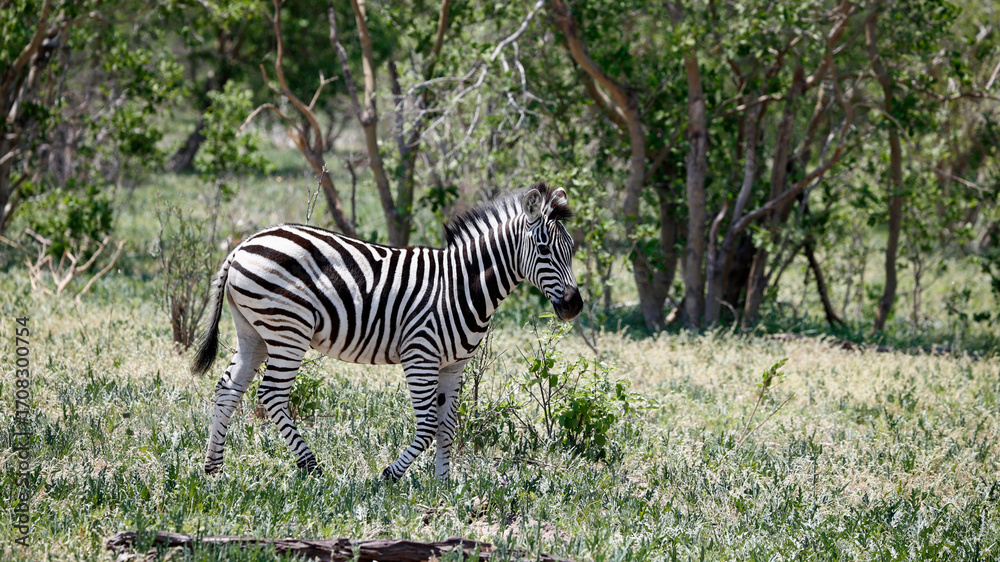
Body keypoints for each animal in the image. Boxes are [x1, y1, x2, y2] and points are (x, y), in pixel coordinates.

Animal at [191, 184, 583, 480]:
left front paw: (442, 482)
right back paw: (312, 466)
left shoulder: (453, 365)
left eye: (571, 250)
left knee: (228, 388)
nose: (574, 306)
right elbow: (428, 424)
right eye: (544, 249)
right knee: (272, 393)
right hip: (288, 328)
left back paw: (214, 468)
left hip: (253, 331)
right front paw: (391, 475)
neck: (459, 286)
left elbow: (447, 424)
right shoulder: (420, 356)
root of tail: (243, 245)